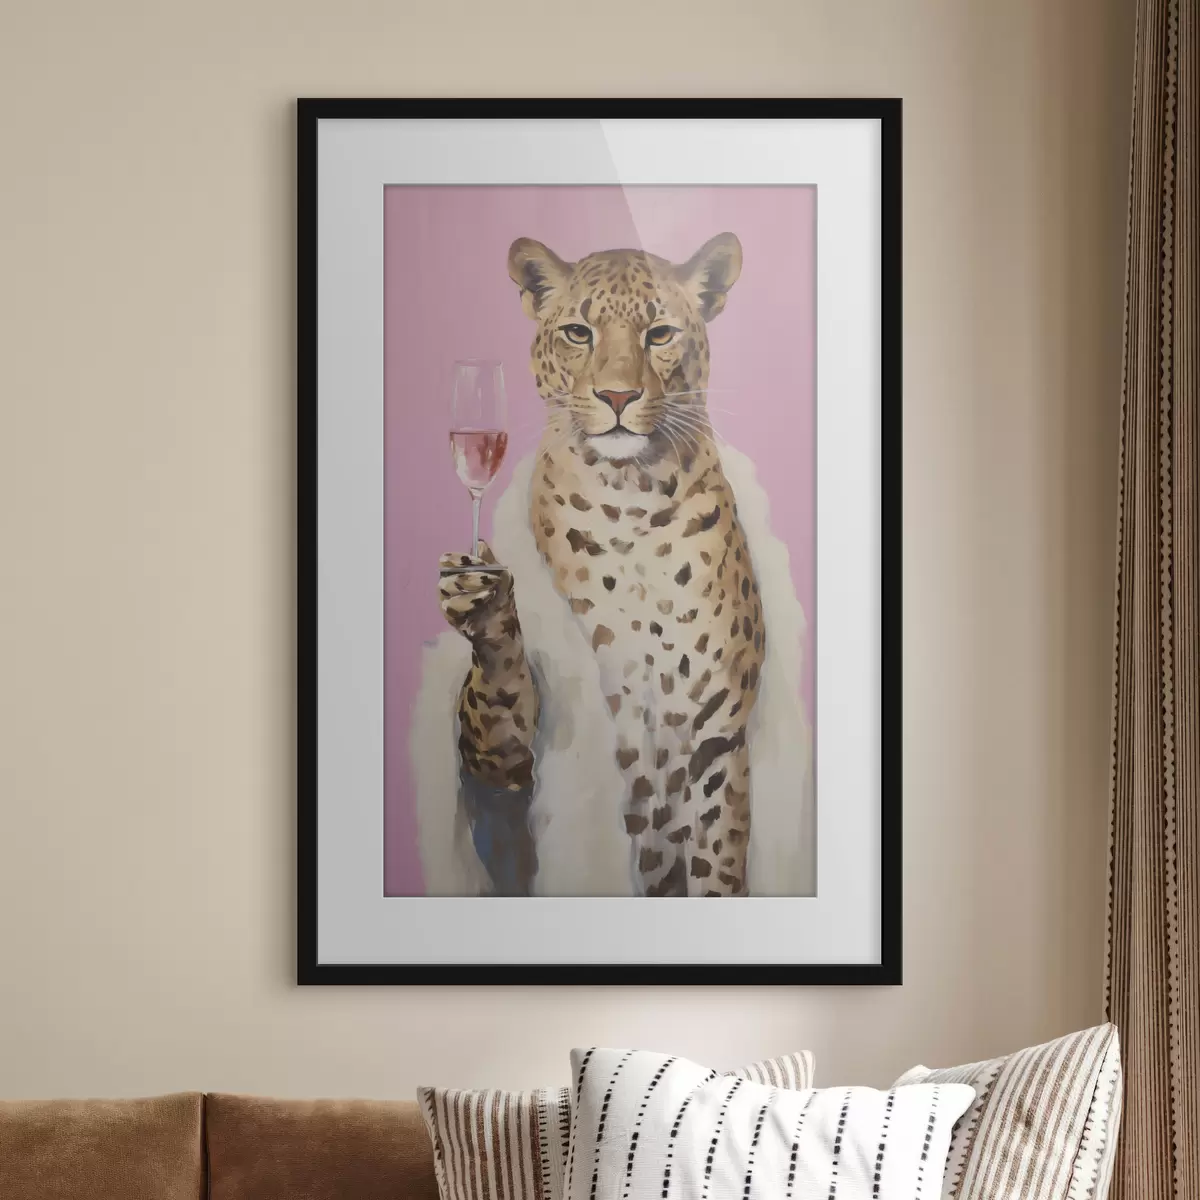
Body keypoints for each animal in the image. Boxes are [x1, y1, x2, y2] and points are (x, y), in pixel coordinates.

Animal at [439, 232, 765, 897]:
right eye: (578, 332)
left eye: (660, 334)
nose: (617, 396)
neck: (630, 500)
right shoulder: (508, 754)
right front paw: (483, 604)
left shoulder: (715, 738)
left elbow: (717, 865)